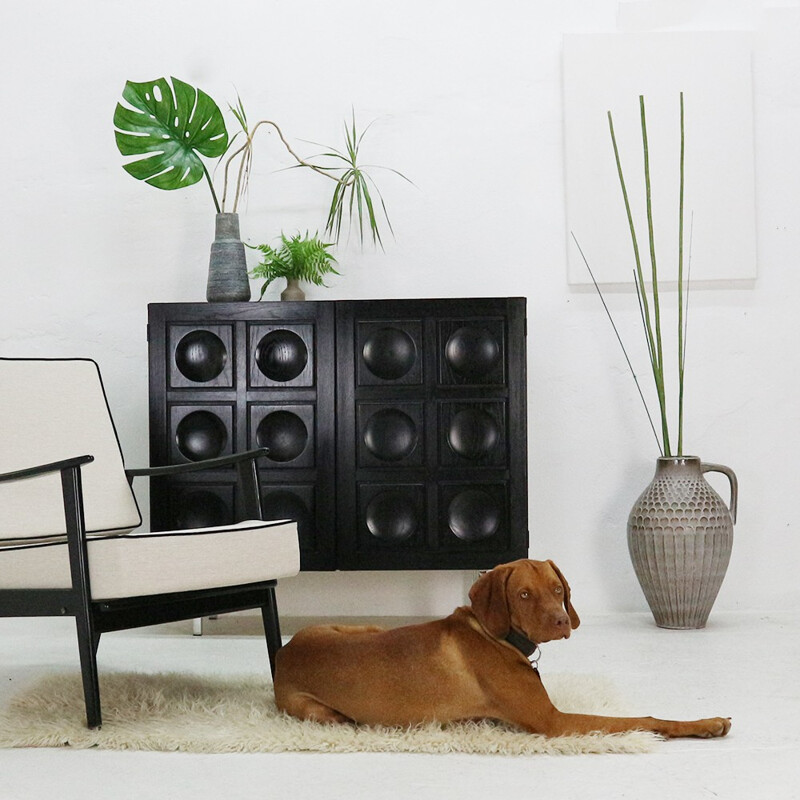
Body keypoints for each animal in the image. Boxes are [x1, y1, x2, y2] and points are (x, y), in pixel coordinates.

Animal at [276, 556, 732, 736]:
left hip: (358, 627)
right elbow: (640, 718)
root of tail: (283, 653)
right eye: (524, 595)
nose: (561, 621)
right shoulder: (553, 721)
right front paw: (706, 723)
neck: (496, 635)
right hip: (320, 713)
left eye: (557, 589)